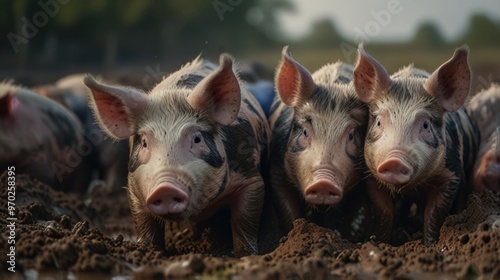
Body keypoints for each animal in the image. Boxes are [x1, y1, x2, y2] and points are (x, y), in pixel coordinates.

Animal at [83, 53, 270, 258]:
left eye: (197, 139)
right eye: (145, 142)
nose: (165, 188)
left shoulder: (251, 180)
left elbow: (244, 221)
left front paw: (246, 255)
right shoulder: (134, 189)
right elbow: (146, 227)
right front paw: (147, 251)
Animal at [354, 43, 478, 245]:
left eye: (426, 125)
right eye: (378, 122)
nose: (394, 161)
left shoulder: (450, 176)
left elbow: (434, 214)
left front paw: (430, 244)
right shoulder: (371, 177)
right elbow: (384, 213)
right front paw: (378, 242)